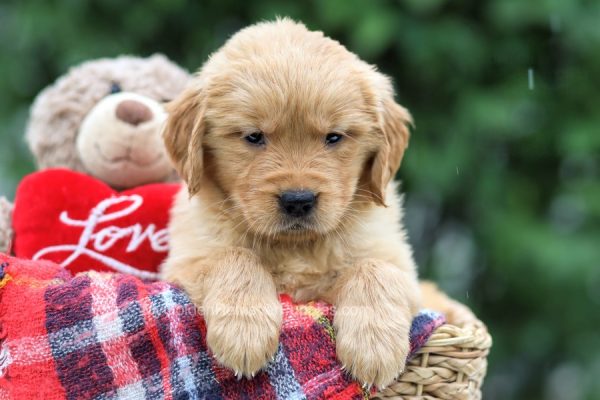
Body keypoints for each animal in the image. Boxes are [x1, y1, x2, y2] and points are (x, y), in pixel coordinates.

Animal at [161, 18, 422, 388]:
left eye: (334, 137)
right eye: (254, 136)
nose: (298, 201)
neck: (294, 247)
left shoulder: (399, 265)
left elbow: (375, 270)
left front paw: (375, 346)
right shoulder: (184, 261)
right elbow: (233, 256)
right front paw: (245, 330)